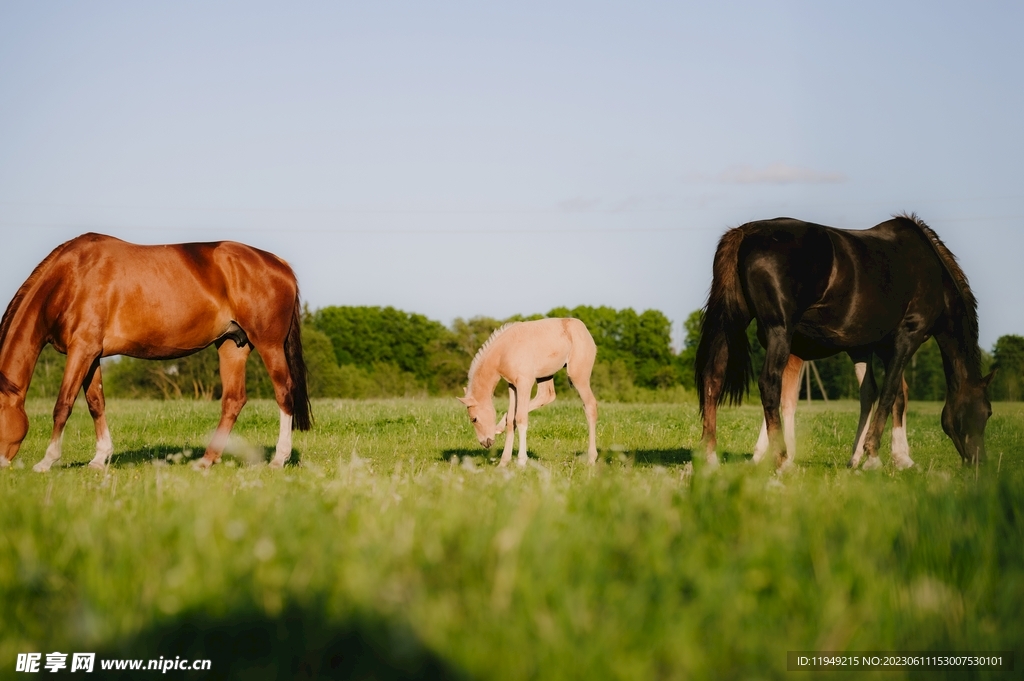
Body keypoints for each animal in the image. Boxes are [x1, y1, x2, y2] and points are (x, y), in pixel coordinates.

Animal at [0, 233, 311, 472]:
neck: (72, 277)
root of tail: (279, 264)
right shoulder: (91, 354)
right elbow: (95, 403)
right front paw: (100, 459)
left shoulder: (82, 350)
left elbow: (63, 405)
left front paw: (46, 462)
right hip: (232, 345)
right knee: (234, 400)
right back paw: (206, 460)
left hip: (269, 345)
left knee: (284, 392)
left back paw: (279, 459)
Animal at [458, 318, 598, 467]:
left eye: (474, 419)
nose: (485, 443)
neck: (504, 351)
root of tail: (583, 328)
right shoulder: (512, 386)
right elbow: (511, 420)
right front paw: (503, 462)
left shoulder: (524, 383)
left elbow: (520, 418)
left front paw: (521, 461)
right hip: (545, 375)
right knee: (546, 396)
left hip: (578, 376)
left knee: (590, 405)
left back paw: (591, 458)